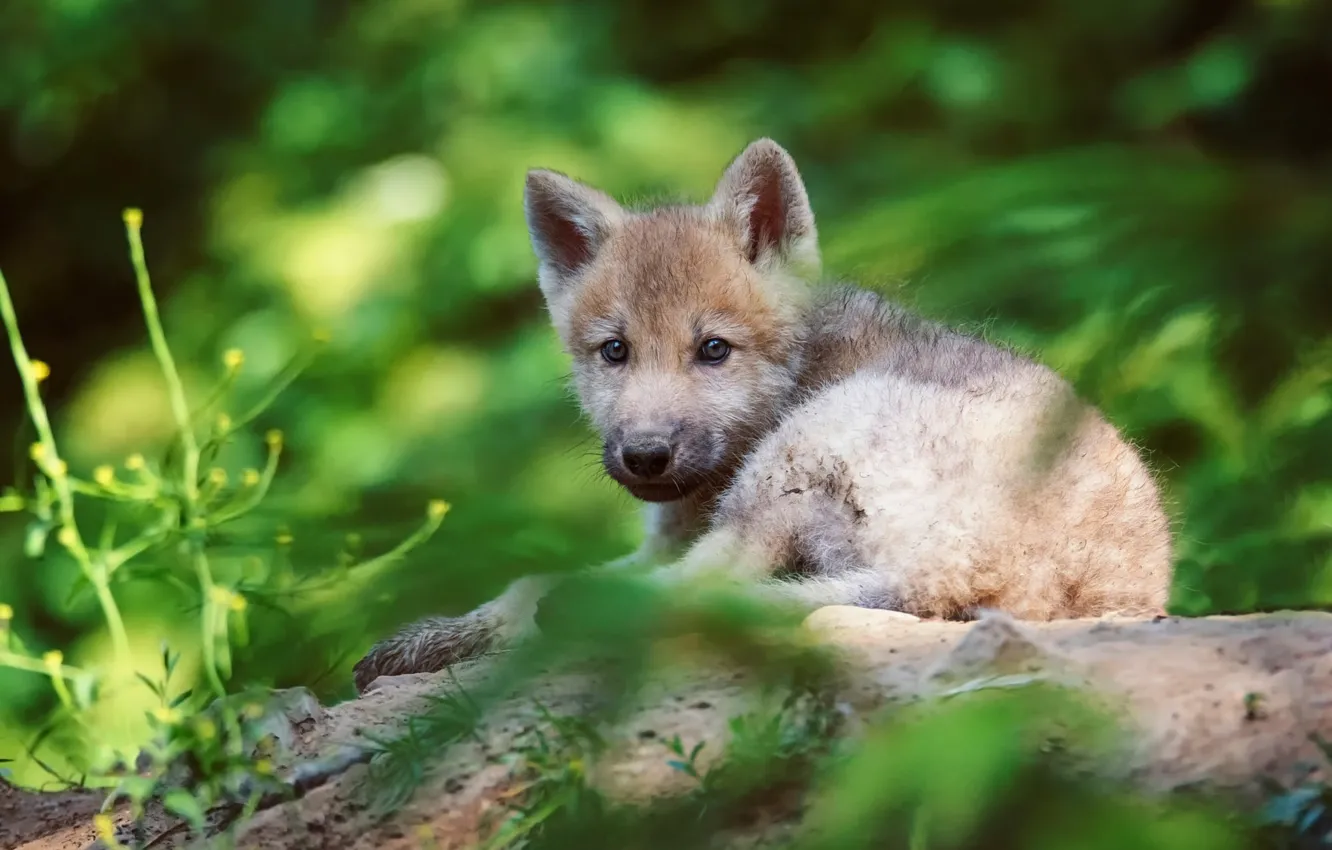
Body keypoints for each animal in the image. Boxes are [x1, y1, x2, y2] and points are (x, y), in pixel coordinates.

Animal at [351, 138, 1173, 694]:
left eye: (713, 349)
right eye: (614, 351)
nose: (644, 455)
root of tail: (959, 574)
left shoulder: (710, 524)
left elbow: (555, 588)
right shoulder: (659, 542)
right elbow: (524, 583)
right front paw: (437, 638)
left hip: (798, 461)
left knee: (694, 597)